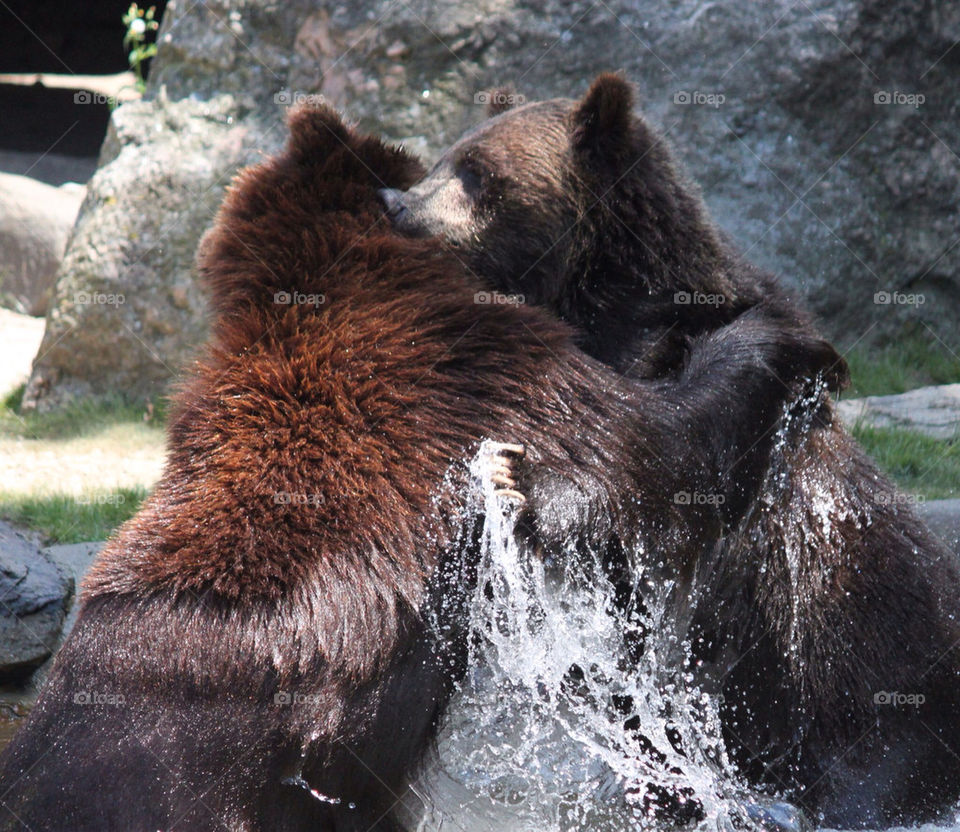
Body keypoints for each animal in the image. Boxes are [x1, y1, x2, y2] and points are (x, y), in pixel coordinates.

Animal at [379, 73, 960, 828]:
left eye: (477, 172)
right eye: (445, 158)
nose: (393, 203)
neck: (602, 301)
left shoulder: (698, 385)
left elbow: (666, 464)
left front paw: (521, 483)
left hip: (858, 670)